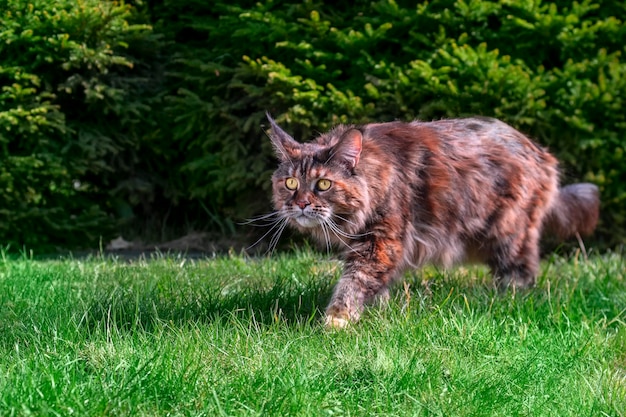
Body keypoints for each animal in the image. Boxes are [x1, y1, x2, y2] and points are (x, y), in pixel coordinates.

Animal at [260, 112, 596, 326]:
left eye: (323, 184)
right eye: (291, 183)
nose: (301, 204)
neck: (375, 176)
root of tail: (541, 153)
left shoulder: (382, 241)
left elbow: (355, 280)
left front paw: (337, 320)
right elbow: (377, 284)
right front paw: (379, 310)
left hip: (509, 229)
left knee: (522, 271)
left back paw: (504, 300)